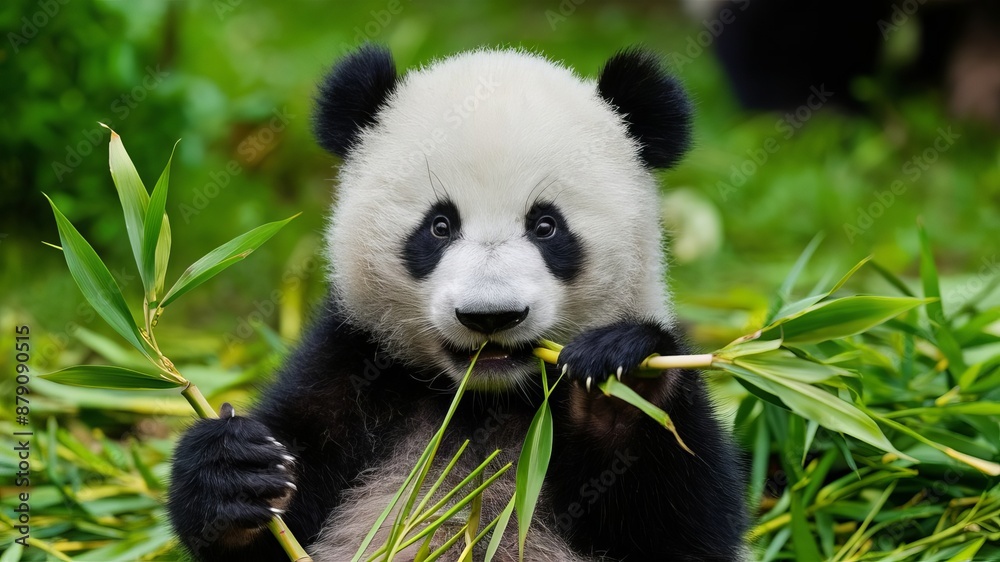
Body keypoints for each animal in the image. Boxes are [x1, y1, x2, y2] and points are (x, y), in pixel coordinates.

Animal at [167, 45, 749, 561]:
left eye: (546, 226)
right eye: (440, 226)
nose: (490, 315)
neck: (484, 399)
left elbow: (685, 529)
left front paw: (621, 381)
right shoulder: (352, 364)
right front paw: (233, 474)